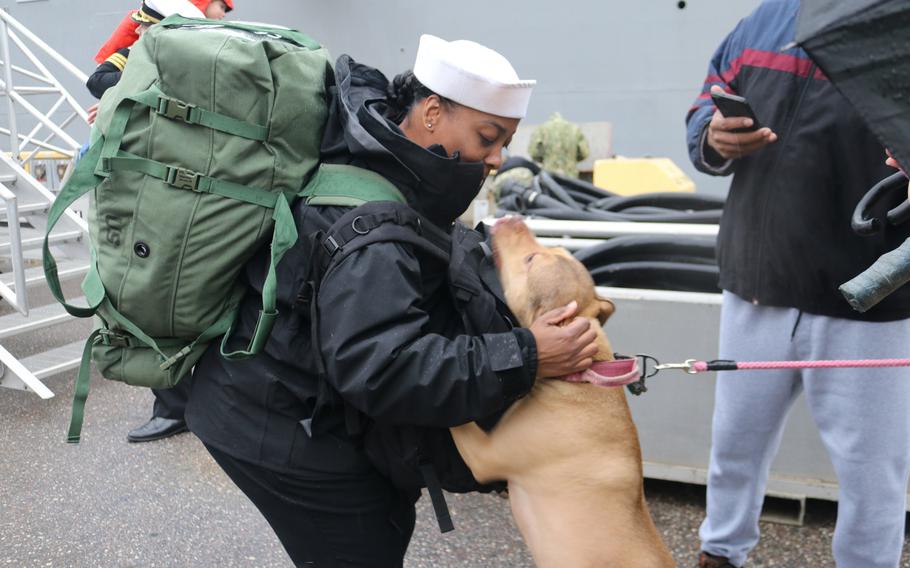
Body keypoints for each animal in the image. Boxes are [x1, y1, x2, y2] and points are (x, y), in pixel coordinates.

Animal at [450, 217, 676, 568]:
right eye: (551, 248)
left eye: (530, 260)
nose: (514, 218)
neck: (584, 375)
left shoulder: (482, 455)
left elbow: (451, 421)